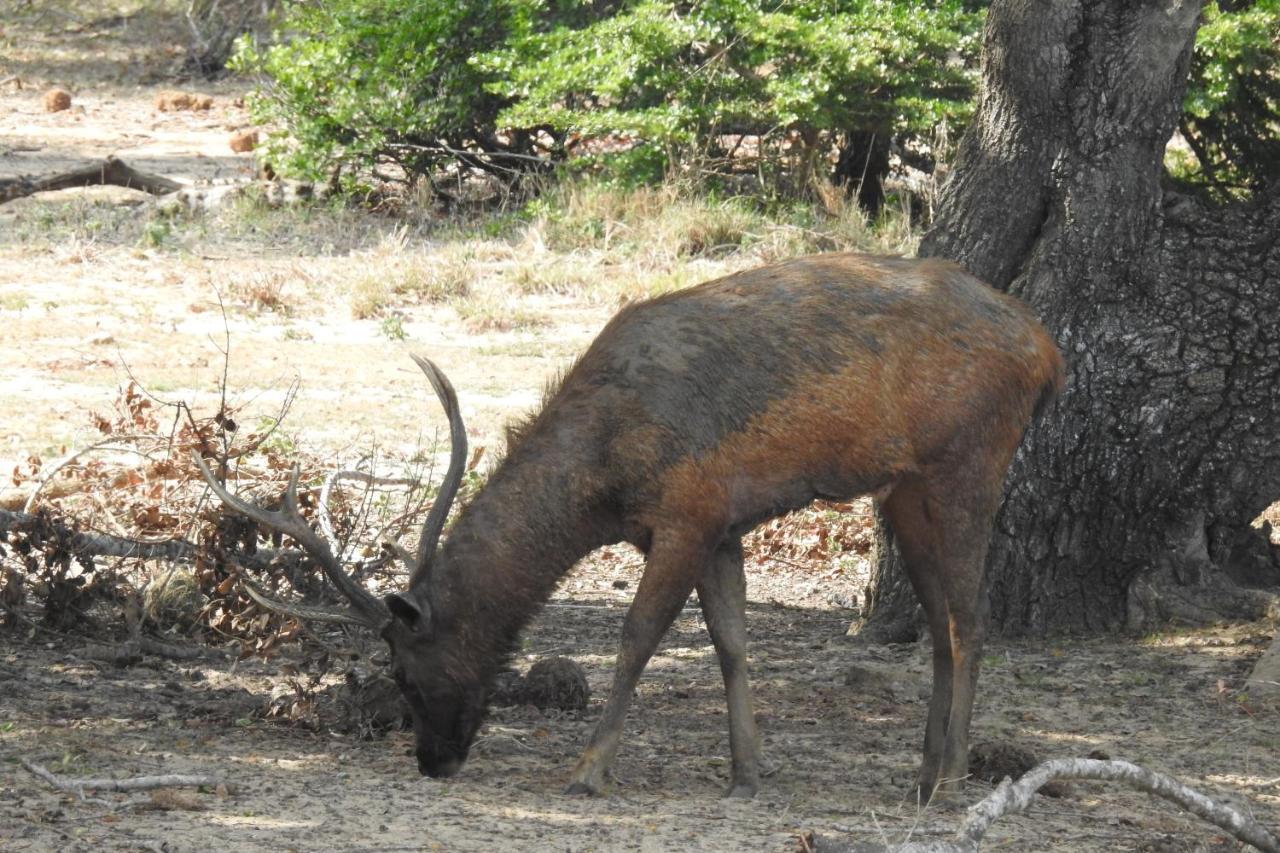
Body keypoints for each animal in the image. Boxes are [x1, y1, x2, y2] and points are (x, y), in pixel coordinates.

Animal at [197, 251, 1059, 799]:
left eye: (406, 673)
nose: (431, 762)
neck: (599, 484)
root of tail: (1047, 349)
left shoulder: (686, 510)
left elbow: (639, 636)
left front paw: (589, 769)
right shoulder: (719, 525)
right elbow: (732, 644)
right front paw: (747, 773)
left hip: (968, 457)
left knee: (972, 620)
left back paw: (952, 778)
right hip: (904, 487)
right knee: (942, 622)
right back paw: (921, 771)